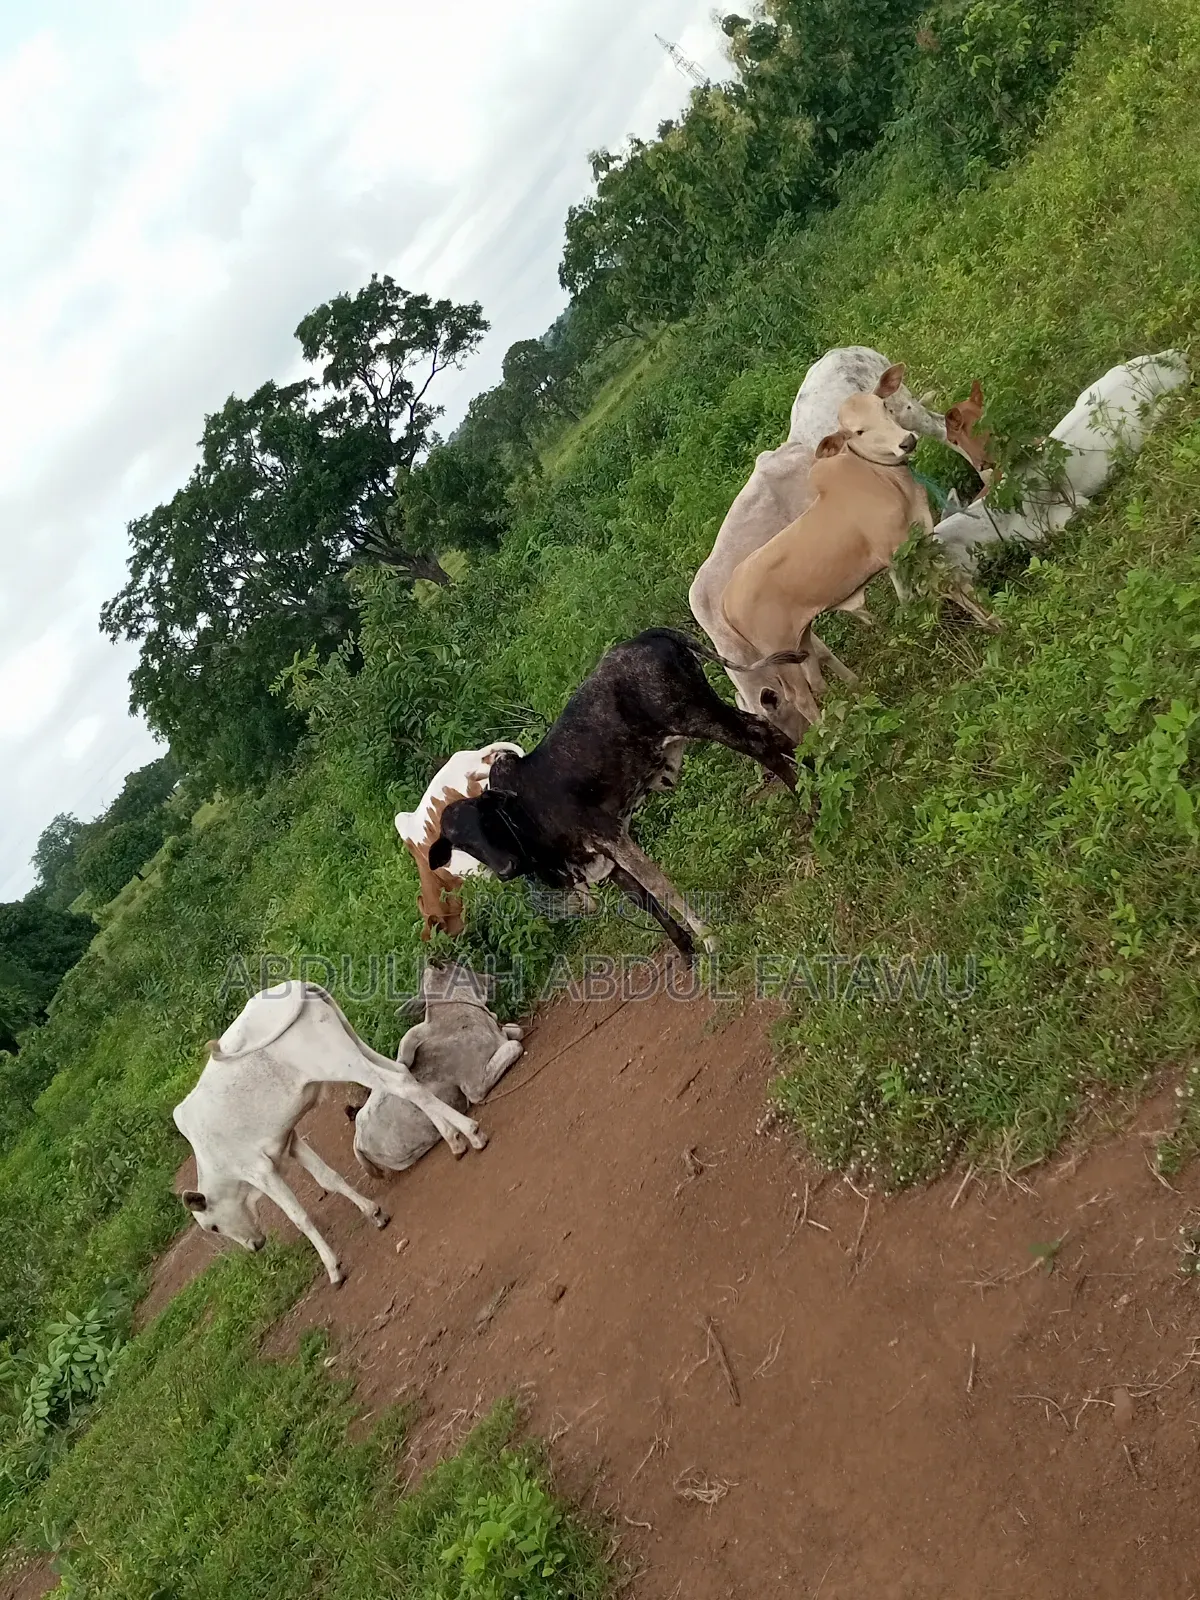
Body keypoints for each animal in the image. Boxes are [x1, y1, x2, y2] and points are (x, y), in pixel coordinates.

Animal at [172, 981, 487, 1286]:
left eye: (213, 1227)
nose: (254, 1245)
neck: (212, 1159)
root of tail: (298, 985)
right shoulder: (290, 1142)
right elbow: (329, 1179)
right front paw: (374, 1212)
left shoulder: (260, 1171)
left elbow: (299, 1217)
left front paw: (333, 1267)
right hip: (355, 1046)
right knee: (402, 1072)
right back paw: (455, 1140)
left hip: (341, 1064)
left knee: (397, 1082)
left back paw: (471, 1133)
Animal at [428, 629, 798, 957]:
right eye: (462, 846)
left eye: (487, 820)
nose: (504, 869)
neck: (527, 813)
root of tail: (647, 635)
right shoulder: (604, 861)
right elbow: (645, 901)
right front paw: (687, 953)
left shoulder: (613, 838)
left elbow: (660, 888)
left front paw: (710, 939)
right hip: (714, 713)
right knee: (772, 732)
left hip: (702, 718)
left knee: (762, 744)